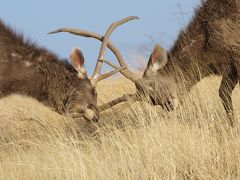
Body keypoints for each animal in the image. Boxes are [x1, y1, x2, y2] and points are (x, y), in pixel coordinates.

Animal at [49, 0, 240, 126]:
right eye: (151, 101)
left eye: (153, 83)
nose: (170, 104)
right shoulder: (230, 68)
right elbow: (223, 92)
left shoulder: (235, 57)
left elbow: (223, 93)